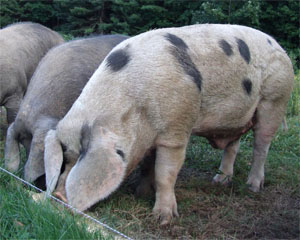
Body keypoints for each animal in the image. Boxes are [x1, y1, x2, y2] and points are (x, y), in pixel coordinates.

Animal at [43, 24, 294, 225]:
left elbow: (165, 172)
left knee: (261, 146)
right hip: (235, 119)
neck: (136, 108)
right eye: (65, 159)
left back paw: (253, 186)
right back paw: (220, 181)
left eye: (80, 155)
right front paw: (141, 193)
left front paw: (163, 218)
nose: (58, 196)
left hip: (275, 100)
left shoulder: (175, 129)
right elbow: (147, 164)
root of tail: (280, 46)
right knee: (234, 145)